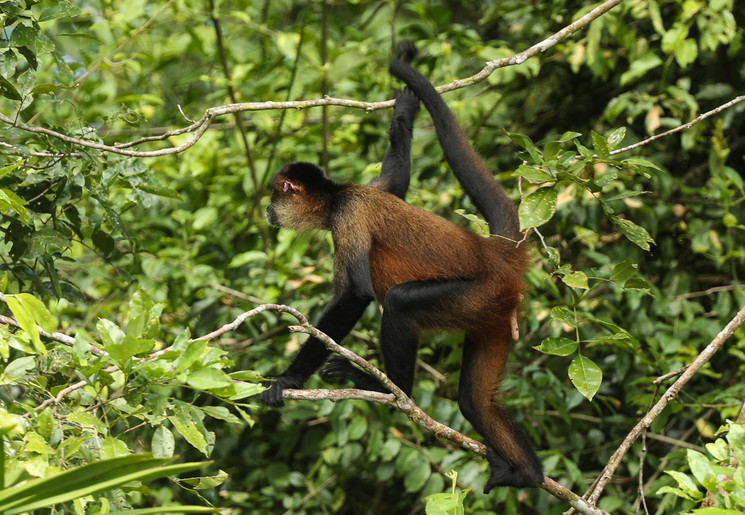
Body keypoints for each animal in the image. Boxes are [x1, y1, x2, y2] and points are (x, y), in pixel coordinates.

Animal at [258, 43, 544, 492]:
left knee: (398, 303)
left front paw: (288, 381)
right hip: (494, 314)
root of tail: (493, 254)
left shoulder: (349, 213)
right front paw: (405, 107)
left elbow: (356, 293)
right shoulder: (369, 192)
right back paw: (529, 474)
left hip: (478, 294)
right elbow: (397, 181)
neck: (338, 196)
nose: (267, 210)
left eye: (275, 194)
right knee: (475, 400)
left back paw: (392, 391)